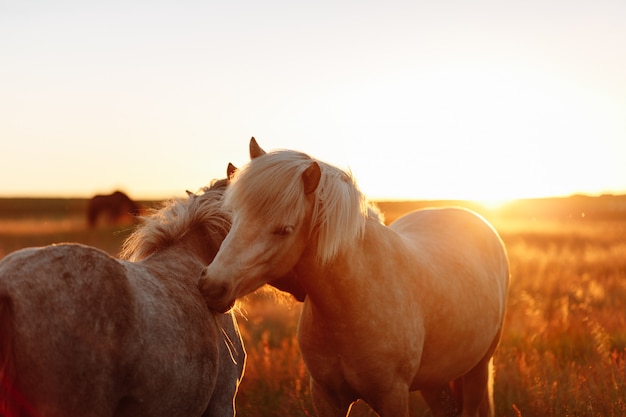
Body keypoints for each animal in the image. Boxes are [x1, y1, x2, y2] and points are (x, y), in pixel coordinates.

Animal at [197, 140, 510, 416]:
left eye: (284, 230)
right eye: (233, 216)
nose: (211, 286)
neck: (352, 301)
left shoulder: (393, 397)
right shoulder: (326, 397)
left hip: (478, 370)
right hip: (436, 380)